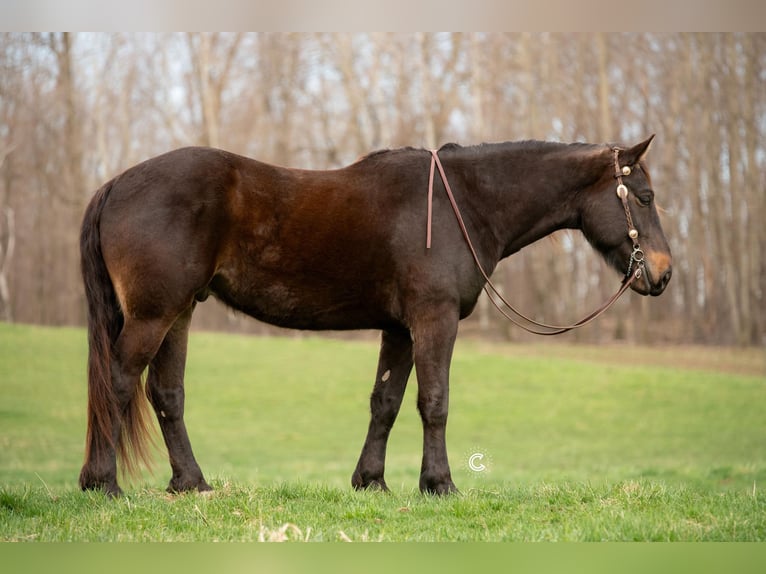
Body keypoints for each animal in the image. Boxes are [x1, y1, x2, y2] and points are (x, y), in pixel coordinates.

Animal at [79, 137, 672, 498]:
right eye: (644, 197)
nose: (663, 274)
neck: (462, 204)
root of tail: (117, 184)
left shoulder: (400, 329)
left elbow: (385, 402)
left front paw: (372, 481)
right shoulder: (434, 320)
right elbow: (434, 402)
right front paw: (439, 484)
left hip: (178, 313)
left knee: (166, 394)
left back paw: (191, 483)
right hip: (153, 315)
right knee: (119, 382)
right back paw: (102, 483)